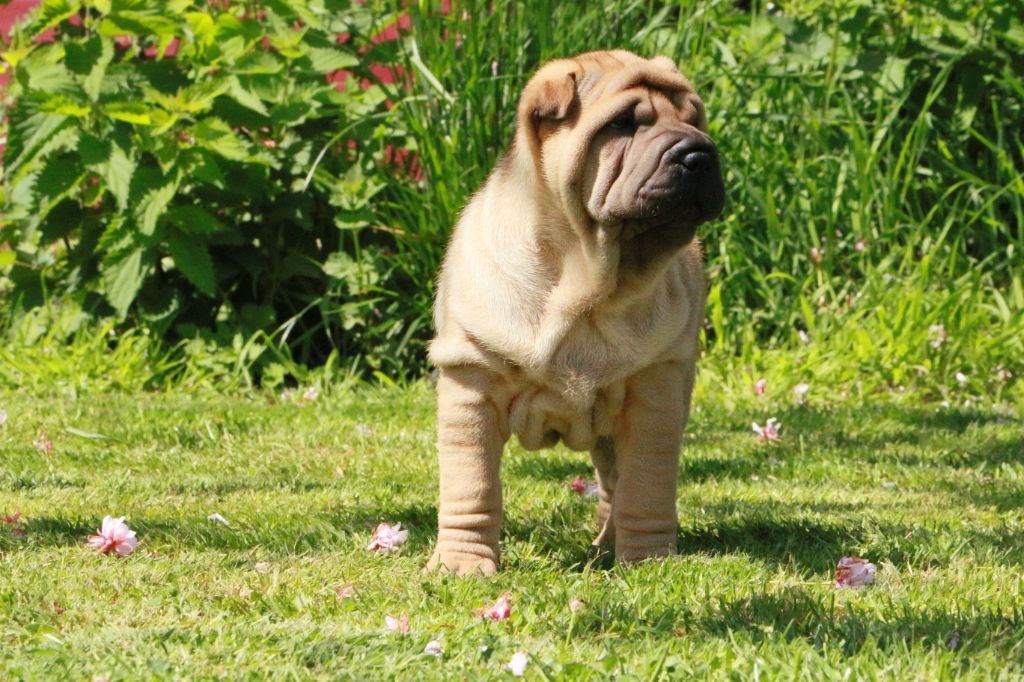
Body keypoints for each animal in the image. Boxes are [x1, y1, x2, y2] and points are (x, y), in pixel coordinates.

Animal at [426, 50, 724, 575]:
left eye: (694, 119)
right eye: (623, 123)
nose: (700, 154)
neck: (586, 276)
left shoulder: (654, 396)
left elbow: (646, 486)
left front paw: (648, 560)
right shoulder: (471, 380)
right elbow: (472, 486)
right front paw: (461, 564)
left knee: (617, 483)